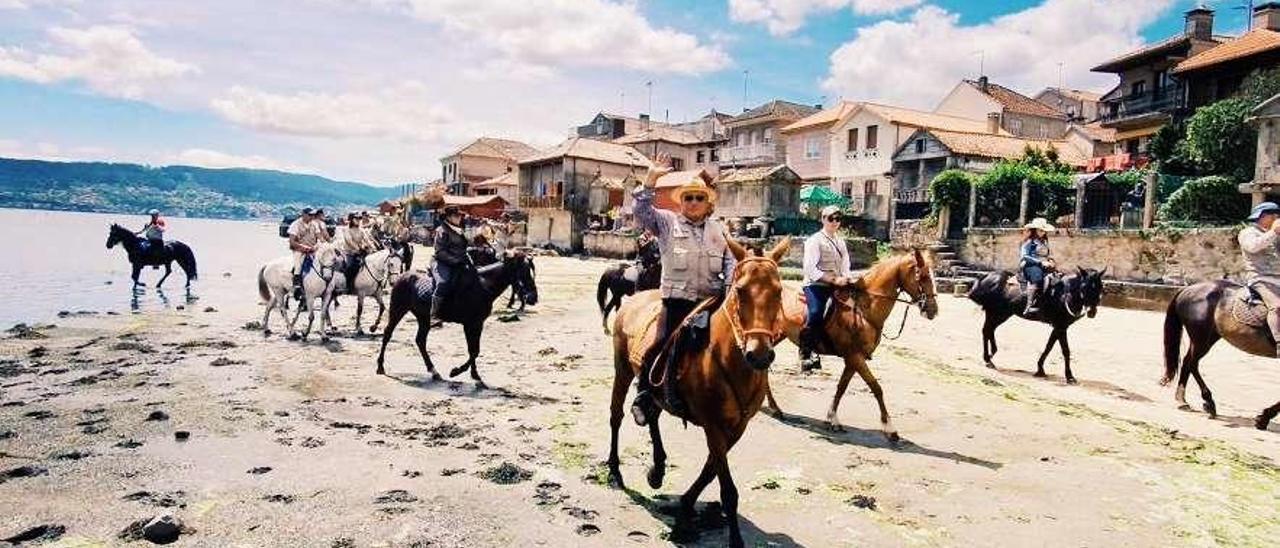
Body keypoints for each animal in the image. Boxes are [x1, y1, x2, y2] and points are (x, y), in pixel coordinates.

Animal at [606, 238, 788, 548]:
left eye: (778, 291)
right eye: (740, 291)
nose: (760, 355)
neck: (729, 359)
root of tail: (636, 299)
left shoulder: (737, 427)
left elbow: (711, 469)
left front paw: (687, 504)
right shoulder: (713, 424)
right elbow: (727, 489)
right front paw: (734, 540)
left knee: (653, 415)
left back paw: (657, 469)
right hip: (623, 368)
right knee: (616, 416)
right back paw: (615, 470)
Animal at [762, 250, 936, 443]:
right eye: (922, 276)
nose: (932, 310)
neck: (864, 310)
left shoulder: (853, 359)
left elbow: (842, 387)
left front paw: (832, 419)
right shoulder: (855, 356)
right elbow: (876, 387)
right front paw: (889, 428)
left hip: (778, 336)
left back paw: (774, 408)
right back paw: (774, 407)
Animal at [962, 267, 1105, 384]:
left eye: (1100, 286)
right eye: (1085, 286)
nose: (1092, 312)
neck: (1064, 294)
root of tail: (987, 276)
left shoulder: (1058, 326)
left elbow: (1049, 347)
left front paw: (1040, 369)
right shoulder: (1061, 326)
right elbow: (1065, 351)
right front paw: (1069, 377)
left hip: (1003, 314)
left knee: (989, 330)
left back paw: (991, 356)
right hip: (995, 312)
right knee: (987, 330)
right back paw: (988, 359)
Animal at [1167, 280, 1280, 430]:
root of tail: (1188, 289)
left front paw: (1263, 418)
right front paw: (1263, 418)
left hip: (1209, 337)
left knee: (1188, 362)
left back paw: (1183, 400)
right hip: (1201, 338)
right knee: (1192, 363)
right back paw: (1207, 402)